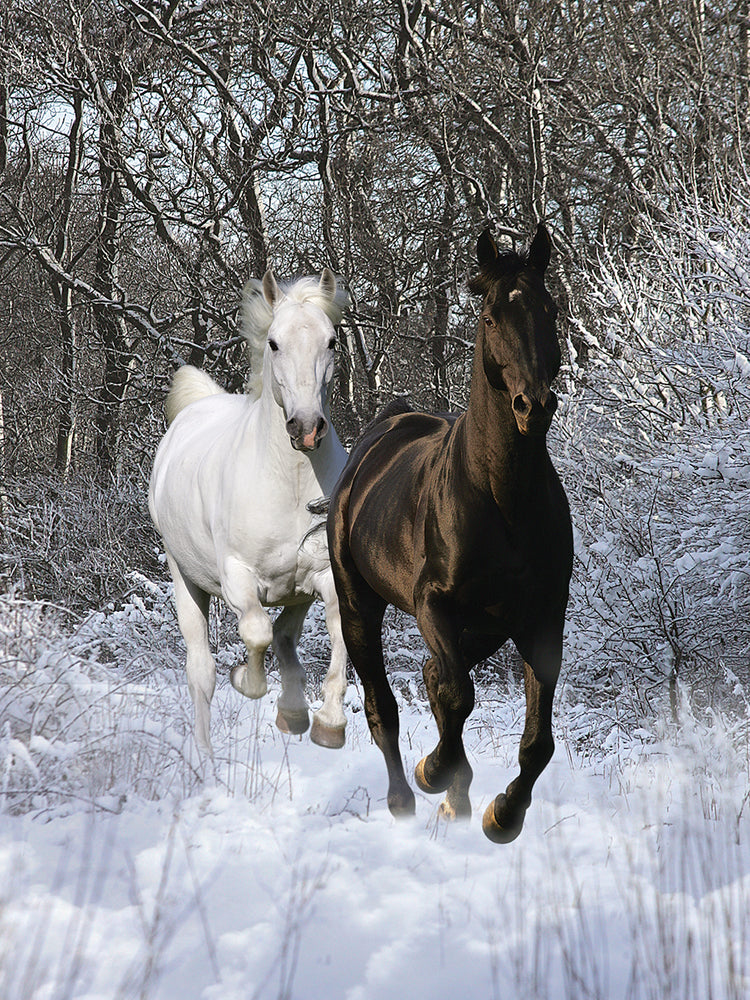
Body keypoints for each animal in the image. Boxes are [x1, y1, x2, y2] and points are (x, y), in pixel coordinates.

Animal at [149, 268, 351, 756]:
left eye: (332, 341)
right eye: (274, 343)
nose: (307, 427)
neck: (289, 483)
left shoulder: (325, 575)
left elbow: (338, 632)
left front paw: (329, 722)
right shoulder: (237, 577)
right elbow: (256, 632)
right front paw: (245, 680)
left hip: (296, 591)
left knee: (285, 635)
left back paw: (294, 713)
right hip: (184, 577)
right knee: (202, 670)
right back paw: (205, 759)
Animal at [326, 224, 573, 843]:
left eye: (550, 309)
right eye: (489, 317)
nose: (534, 405)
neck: (503, 501)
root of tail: (384, 428)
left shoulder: (541, 618)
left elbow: (537, 740)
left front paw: (502, 814)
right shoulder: (432, 604)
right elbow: (458, 695)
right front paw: (434, 772)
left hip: (485, 627)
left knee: (435, 675)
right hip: (359, 604)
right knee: (385, 705)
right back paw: (406, 796)